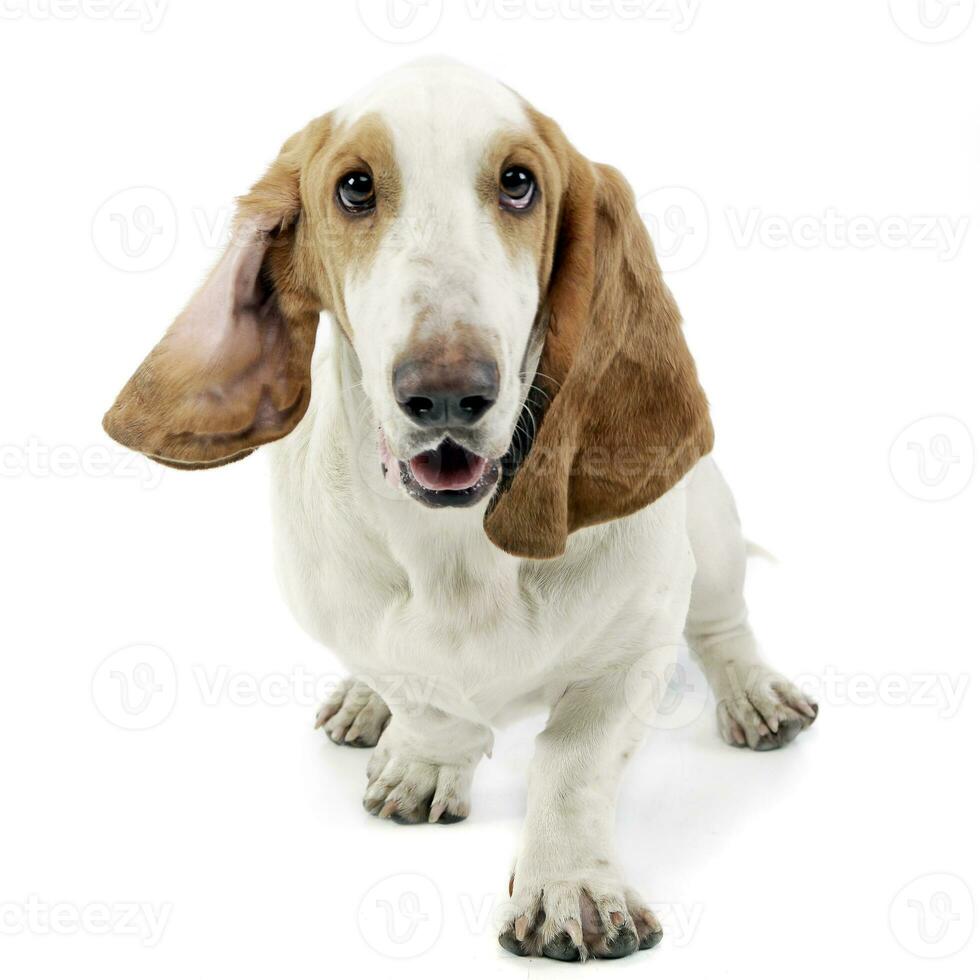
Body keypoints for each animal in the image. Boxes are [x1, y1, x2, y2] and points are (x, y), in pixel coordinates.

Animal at [101, 57, 820, 960]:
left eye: (518, 183)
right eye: (355, 187)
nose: (446, 392)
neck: (455, 551)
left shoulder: (636, 652)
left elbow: (573, 760)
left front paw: (568, 887)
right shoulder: (345, 617)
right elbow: (425, 699)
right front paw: (424, 759)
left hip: (711, 529)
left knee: (724, 626)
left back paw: (755, 694)